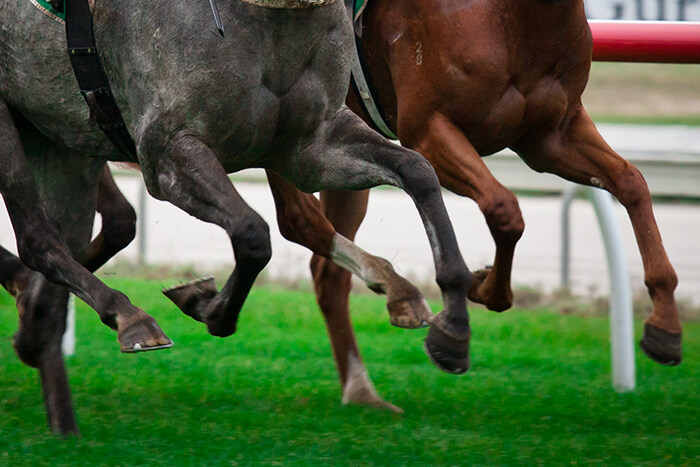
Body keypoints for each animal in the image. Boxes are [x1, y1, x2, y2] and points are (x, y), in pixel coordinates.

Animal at [1, 0, 473, 434]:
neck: (274, 14)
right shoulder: (167, 150)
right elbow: (252, 233)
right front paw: (206, 305)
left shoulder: (312, 146)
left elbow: (418, 170)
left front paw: (452, 330)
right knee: (37, 241)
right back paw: (128, 318)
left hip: (60, 138)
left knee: (53, 266)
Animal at [270, 0, 683, 411]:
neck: (516, 18)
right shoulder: (429, 129)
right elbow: (505, 209)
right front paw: (473, 303)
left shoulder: (551, 136)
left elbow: (631, 182)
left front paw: (665, 323)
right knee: (299, 220)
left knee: (326, 268)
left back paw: (363, 387)